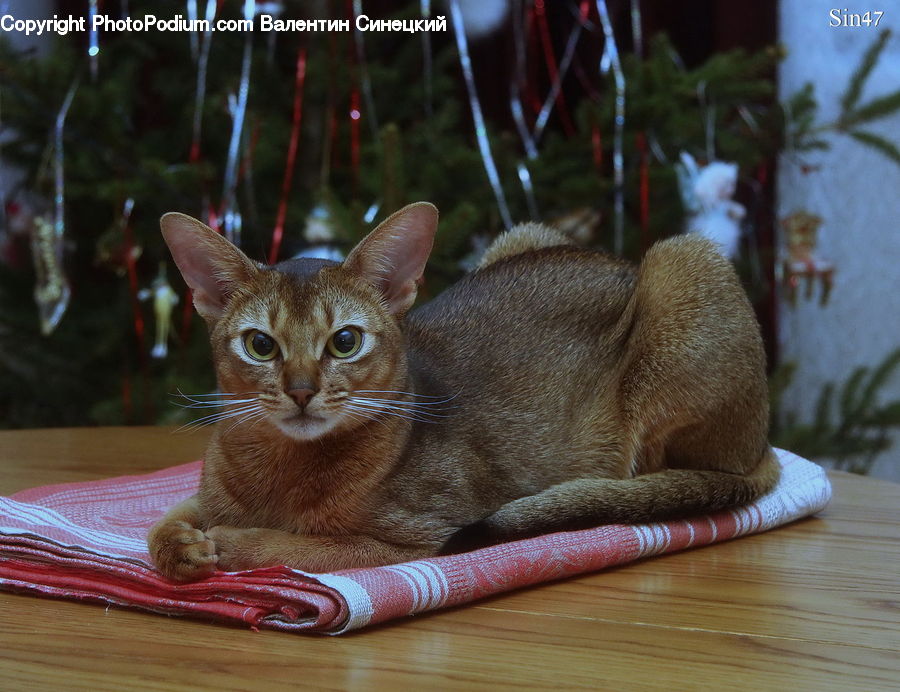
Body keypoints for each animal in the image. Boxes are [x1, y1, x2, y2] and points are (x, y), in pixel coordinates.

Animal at [146, 203, 772, 580]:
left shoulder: (413, 540)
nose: (301, 392)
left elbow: (291, 547)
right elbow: (162, 522)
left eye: (345, 341)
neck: (279, 468)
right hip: (525, 235)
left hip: (684, 265)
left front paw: (226, 544)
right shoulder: (209, 493)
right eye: (260, 345)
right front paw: (180, 546)